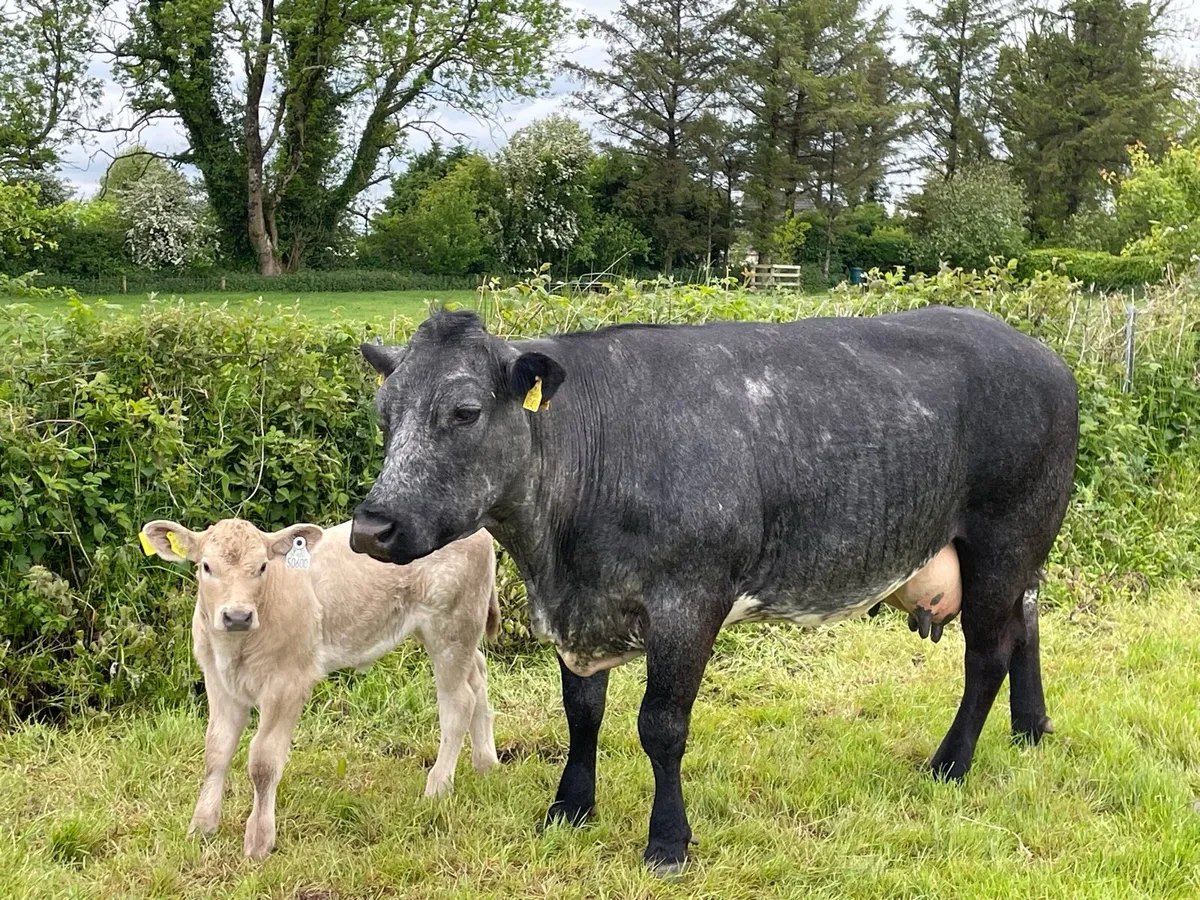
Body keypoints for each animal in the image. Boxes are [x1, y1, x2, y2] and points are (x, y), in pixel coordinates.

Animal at [139, 517, 500, 858]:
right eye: (206, 566)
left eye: (262, 567)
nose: (237, 616)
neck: (236, 648)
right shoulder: (218, 681)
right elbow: (216, 751)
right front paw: (202, 826)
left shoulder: (288, 682)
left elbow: (263, 761)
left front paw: (259, 840)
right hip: (450, 633)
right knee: (478, 674)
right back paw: (486, 763)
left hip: (452, 625)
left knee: (458, 701)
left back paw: (438, 787)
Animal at [348, 306, 1078, 874]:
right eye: (384, 414)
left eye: (465, 411)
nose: (372, 525)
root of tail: (1042, 354)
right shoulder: (583, 610)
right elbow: (582, 711)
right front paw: (569, 807)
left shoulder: (689, 600)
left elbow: (661, 725)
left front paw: (667, 842)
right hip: (1023, 553)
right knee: (1027, 623)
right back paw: (1030, 727)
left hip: (1005, 539)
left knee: (986, 655)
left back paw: (950, 764)